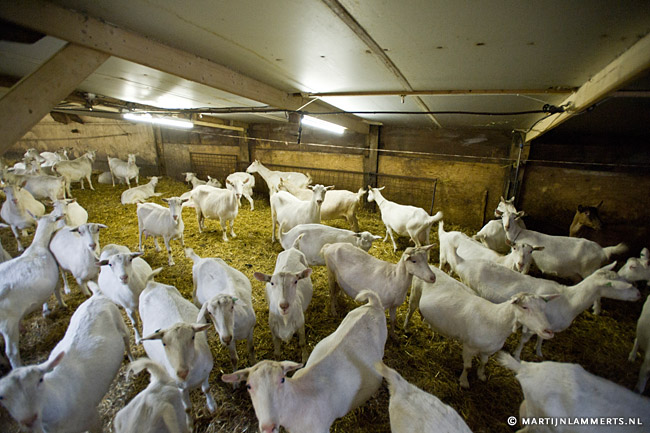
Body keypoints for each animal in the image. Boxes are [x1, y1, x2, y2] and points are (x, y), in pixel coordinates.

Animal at [0, 212, 65, 368]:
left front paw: (46, 310)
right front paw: (63, 305)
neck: (38, 245)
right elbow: (57, 291)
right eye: (56, 220)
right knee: (11, 352)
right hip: (7, 323)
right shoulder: (54, 277)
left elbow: (45, 299)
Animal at [0, 292, 133, 432]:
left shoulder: (92, 417)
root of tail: (96, 296)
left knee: (127, 342)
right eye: (1, 397)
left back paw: (132, 361)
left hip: (121, 325)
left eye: (40, 380)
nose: (28, 420)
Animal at [139, 278, 216, 413]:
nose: (181, 373)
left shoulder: (205, 374)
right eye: (164, 343)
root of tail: (152, 284)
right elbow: (187, 408)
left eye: (192, 337)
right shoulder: (180, 388)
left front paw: (212, 407)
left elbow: (206, 389)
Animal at [405, 263, 556, 388]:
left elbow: (484, 362)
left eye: (544, 308)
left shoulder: (487, 350)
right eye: (524, 307)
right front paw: (464, 382)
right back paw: (406, 328)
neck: (496, 320)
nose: (548, 331)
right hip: (415, 293)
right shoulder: (468, 347)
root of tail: (432, 267)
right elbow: (467, 367)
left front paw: (481, 375)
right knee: (410, 310)